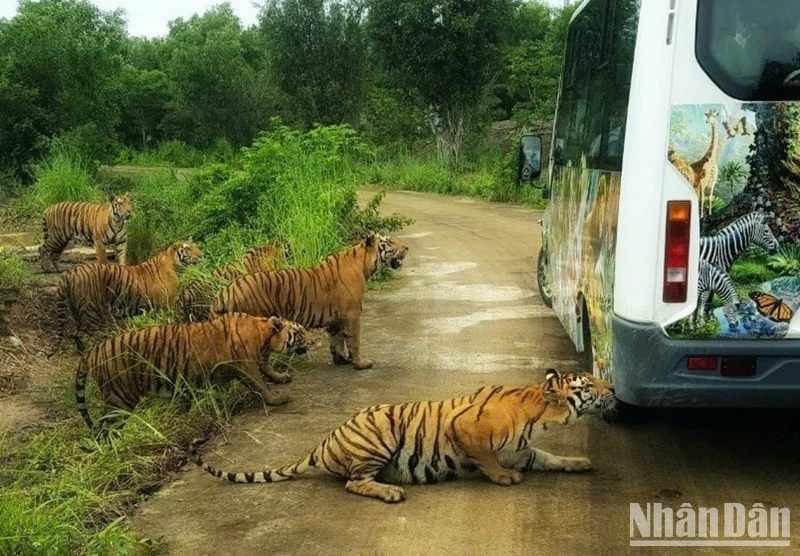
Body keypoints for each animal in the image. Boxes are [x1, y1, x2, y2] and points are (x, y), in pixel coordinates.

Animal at [51, 240, 203, 354]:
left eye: (196, 246)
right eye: (188, 248)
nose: (201, 255)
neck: (176, 265)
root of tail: (70, 272)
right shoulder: (168, 305)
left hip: (76, 310)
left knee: (76, 333)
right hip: (90, 311)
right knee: (82, 334)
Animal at [75, 312, 312, 434]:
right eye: (300, 332)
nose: (313, 341)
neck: (263, 336)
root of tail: (92, 351)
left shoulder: (259, 359)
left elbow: (268, 369)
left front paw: (281, 377)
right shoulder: (247, 366)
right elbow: (260, 384)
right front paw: (276, 399)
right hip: (120, 398)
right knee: (104, 429)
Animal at [191, 370, 616, 504]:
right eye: (587, 384)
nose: (612, 386)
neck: (539, 413)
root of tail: (323, 442)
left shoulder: (522, 449)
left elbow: (549, 458)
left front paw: (579, 462)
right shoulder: (467, 430)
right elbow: (487, 458)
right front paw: (502, 478)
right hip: (377, 438)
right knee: (353, 483)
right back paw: (391, 491)